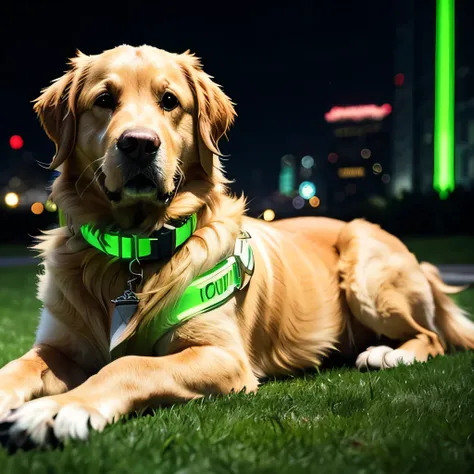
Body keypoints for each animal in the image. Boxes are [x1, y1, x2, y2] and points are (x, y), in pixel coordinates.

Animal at [0, 43, 474, 448]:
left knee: (430, 336)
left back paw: (388, 355)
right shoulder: (58, 346)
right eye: (104, 100)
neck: (134, 249)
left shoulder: (222, 356)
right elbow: (17, 367)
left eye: (169, 101)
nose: (139, 144)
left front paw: (60, 409)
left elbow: (129, 364)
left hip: (366, 269)